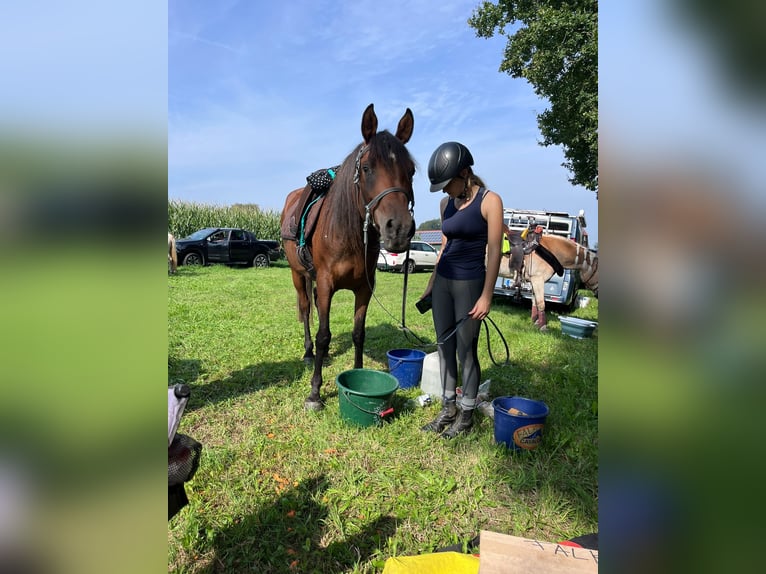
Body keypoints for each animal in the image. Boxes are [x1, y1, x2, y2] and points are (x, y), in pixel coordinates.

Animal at [282, 102, 416, 410]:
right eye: (367, 168)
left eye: (412, 170)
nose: (399, 229)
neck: (348, 233)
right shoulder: (327, 284)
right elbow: (323, 334)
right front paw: (315, 392)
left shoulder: (364, 288)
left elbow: (358, 333)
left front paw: (357, 375)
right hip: (297, 275)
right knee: (306, 310)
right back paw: (308, 354)